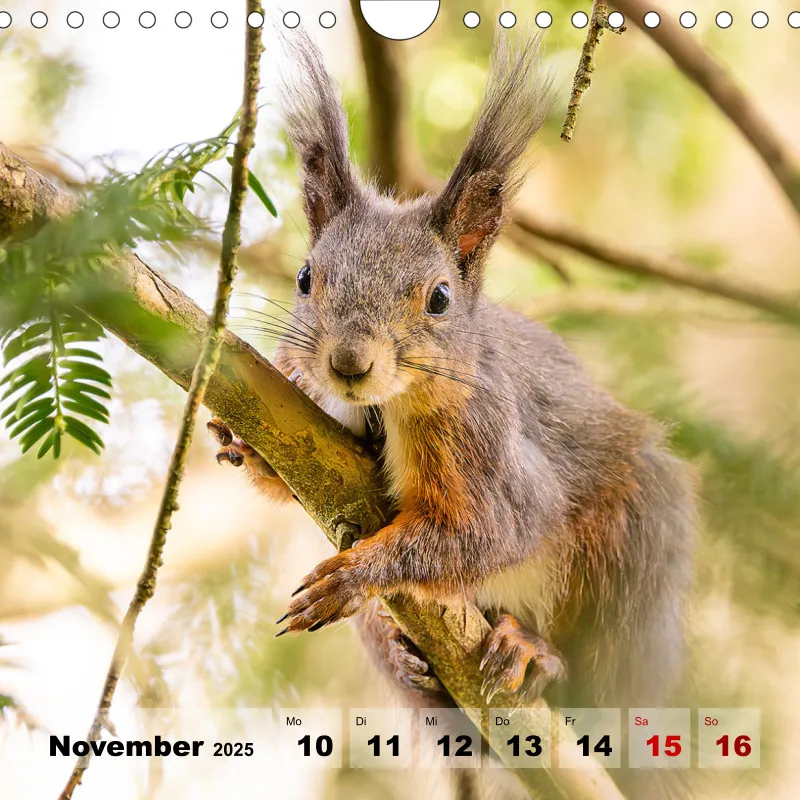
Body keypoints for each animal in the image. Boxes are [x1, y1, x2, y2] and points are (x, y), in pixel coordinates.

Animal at [208, 28, 694, 765]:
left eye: (439, 299)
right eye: (305, 278)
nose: (348, 364)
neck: (387, 403)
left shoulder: (486, 442)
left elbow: (489, 529)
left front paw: (357, 574)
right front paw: (248, 437)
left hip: (632, 563)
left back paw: (533, 654)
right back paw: (409, 656)